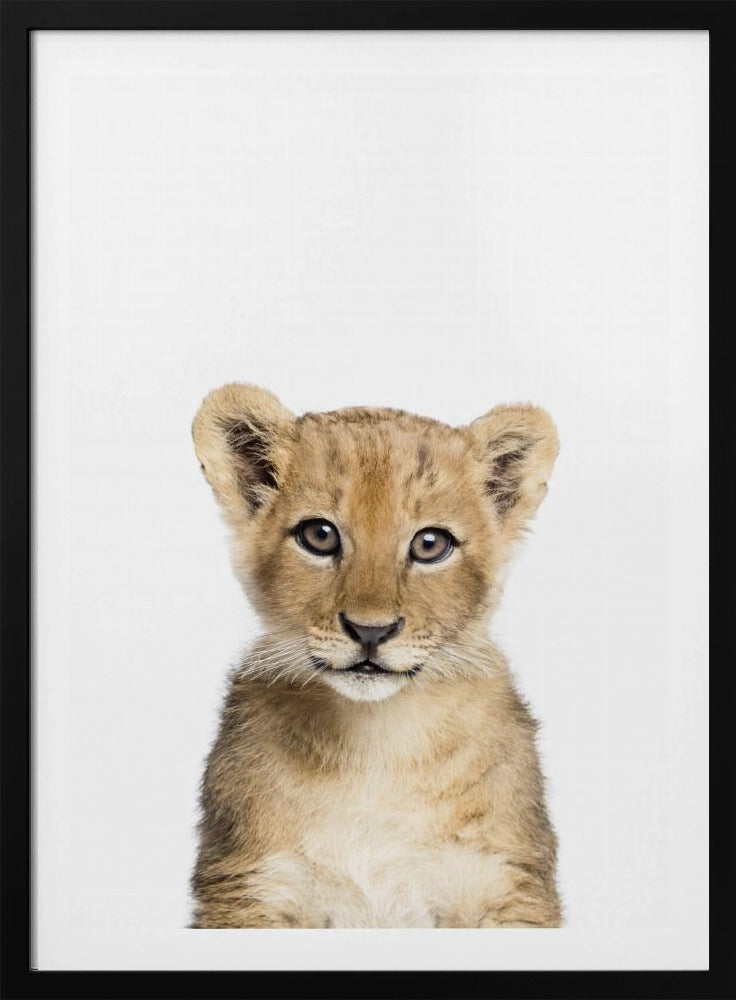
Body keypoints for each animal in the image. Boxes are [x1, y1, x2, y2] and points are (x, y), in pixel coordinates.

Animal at [190, 383, 562, 928]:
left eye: (430, 544)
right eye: (319, 536)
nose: (371, 631)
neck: (377, 744)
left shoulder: (506, 882)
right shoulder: (251, 885)